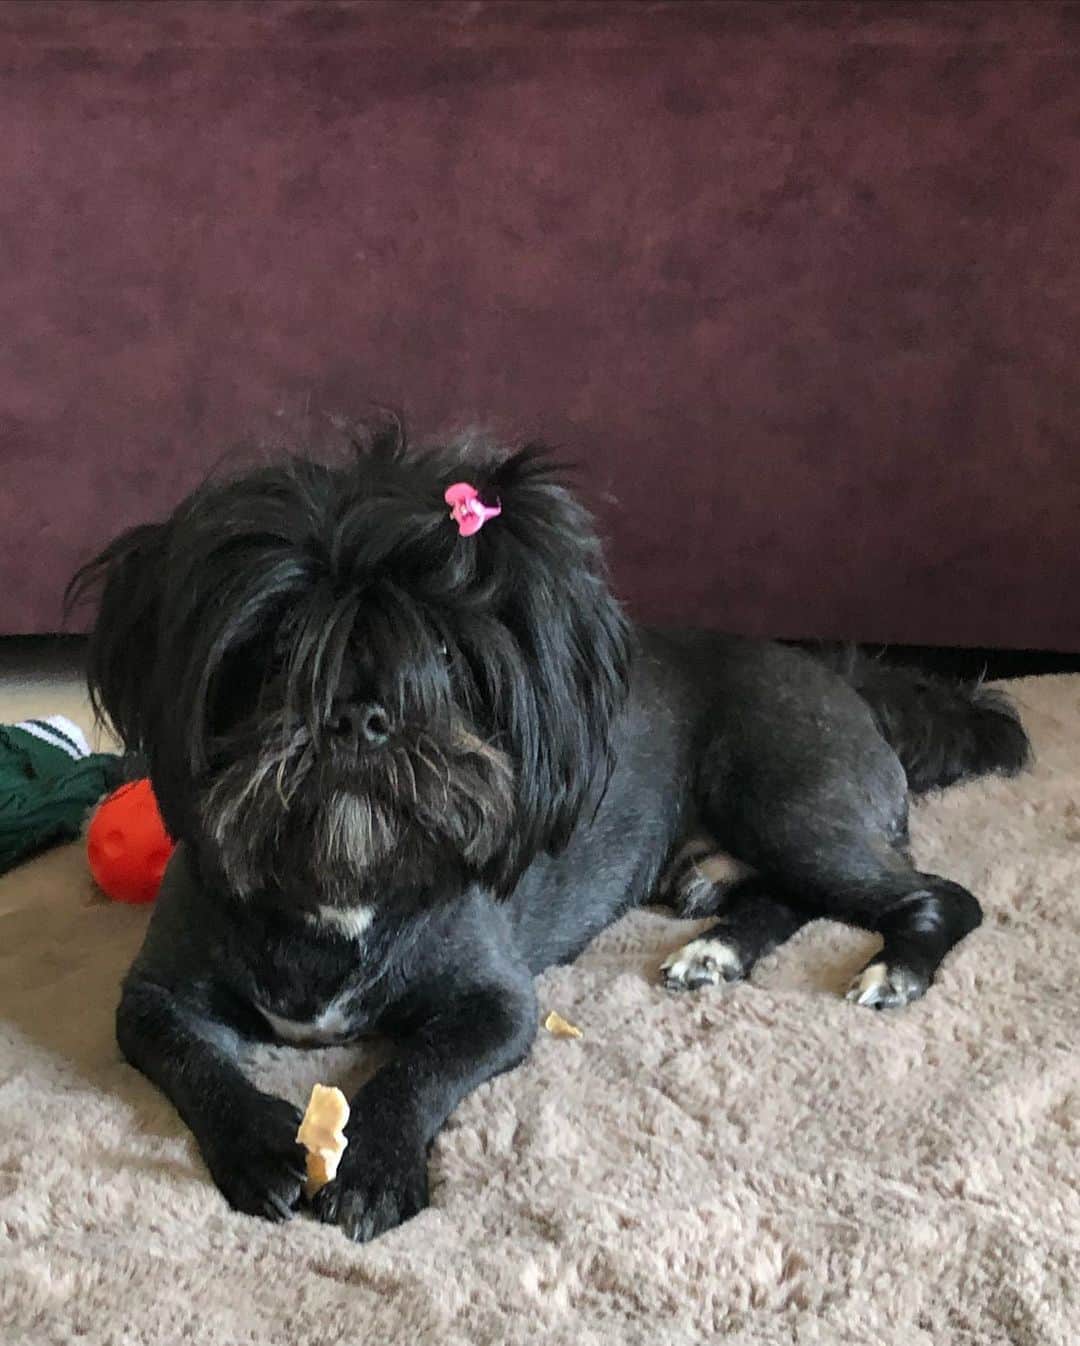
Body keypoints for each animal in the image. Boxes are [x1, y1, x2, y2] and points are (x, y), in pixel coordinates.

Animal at [67, 425, 1028, 1243]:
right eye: (273, 658)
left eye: (446, 659)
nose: (358, 718)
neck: (341, 886)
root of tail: (850, 680)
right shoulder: (153, 996)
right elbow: (192, 1060)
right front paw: (259, 1147)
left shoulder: (494, 1004)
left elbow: (417, 1069)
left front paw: (374, 1168)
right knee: (788, 899)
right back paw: (714, 951)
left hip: (789, 806)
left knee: (935, 895)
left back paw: (893, 970)